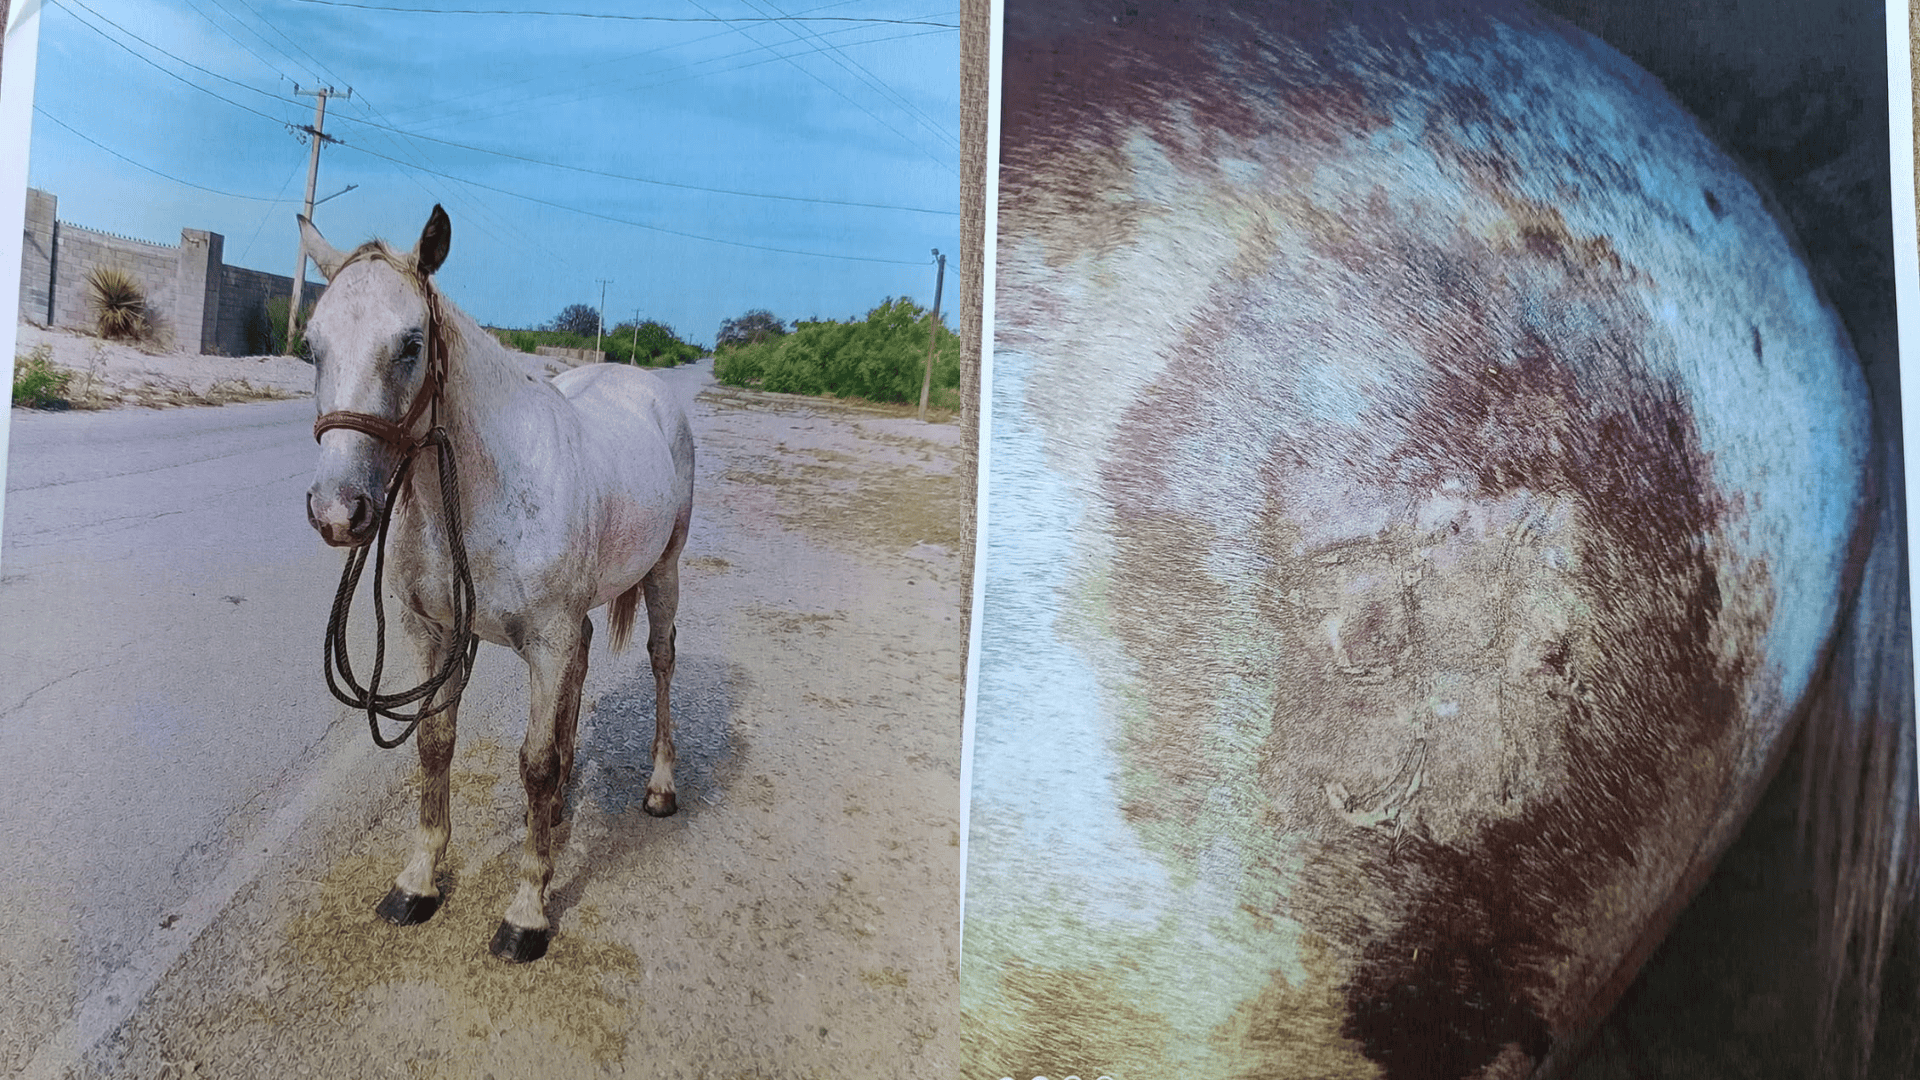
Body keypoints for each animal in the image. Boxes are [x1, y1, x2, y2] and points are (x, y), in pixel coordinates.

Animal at [299, 206, 695, 963]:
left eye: (411, 345)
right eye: (312, 346)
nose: (339, 511)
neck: (486, 488)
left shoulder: (544, 640)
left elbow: (532, 764)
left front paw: (527, 912)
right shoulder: (434, 634)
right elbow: (433, 745)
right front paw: (418, 883)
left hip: (665, 570)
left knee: (662, 661)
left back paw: (661, 785)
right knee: (587, 657)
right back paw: (567, 799)